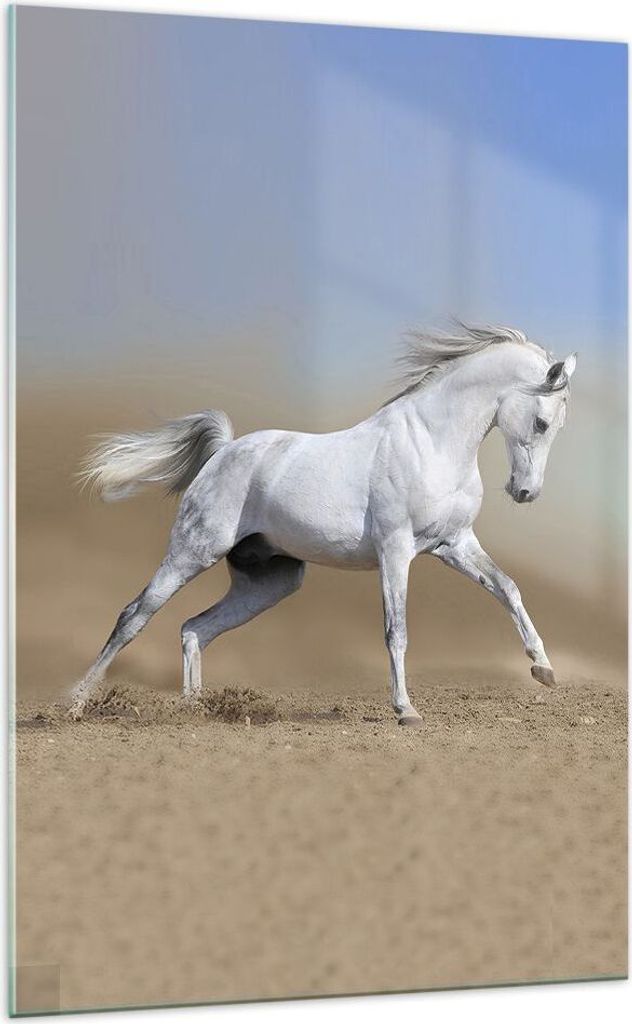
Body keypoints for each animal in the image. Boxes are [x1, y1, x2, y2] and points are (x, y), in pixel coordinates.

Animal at [70, 324, 576, 725]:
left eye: (556, 426)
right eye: (541, 421)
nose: (525, 492)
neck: (432, 442)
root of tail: (224, 451)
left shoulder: (454, 544)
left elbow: (508, 588)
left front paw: (544, 669)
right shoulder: (396, 550)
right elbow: (396, 629)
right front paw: (406, 710)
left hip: (270, 582)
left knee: (195, 629)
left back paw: (196, 709)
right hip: (192, 552)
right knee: (134, 616)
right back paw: (75, 703)